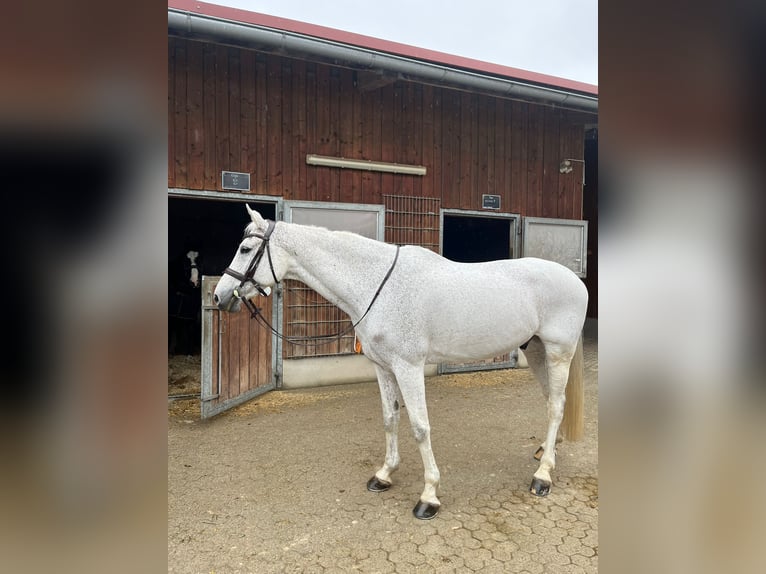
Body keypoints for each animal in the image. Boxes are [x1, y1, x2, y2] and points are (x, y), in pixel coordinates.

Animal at [214, 207, 588, 520]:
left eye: (245, 249)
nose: (219, 296)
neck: (378, 284)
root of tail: (574, 280)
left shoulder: (409, 367)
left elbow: (420, 427)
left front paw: (429, 496)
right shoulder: (383, 367)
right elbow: (390, 419)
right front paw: (384, 475)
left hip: (558, 352)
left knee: (556, 406)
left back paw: (542, 477)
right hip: (536, 350)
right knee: (552, 401)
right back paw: (545, 453)